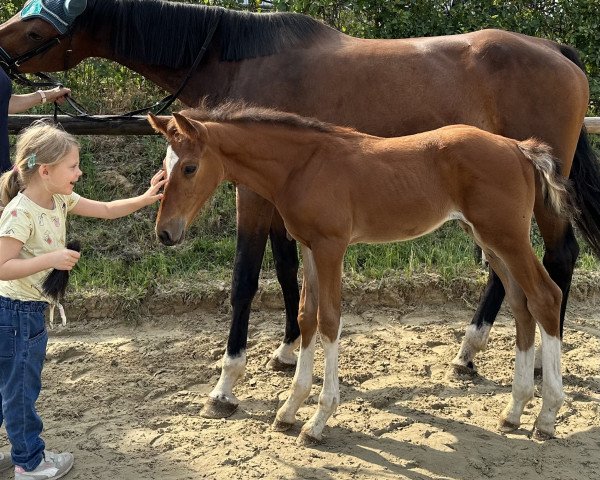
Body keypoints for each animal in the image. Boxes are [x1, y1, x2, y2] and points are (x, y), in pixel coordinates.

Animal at [150, 105, 572, 442]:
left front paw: (318, 421)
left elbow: (330, 321)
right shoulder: (309, 246)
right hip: (488, 238)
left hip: (506, 235)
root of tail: (519, 148)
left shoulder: (331, 247)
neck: (303, 165)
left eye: (189, 167)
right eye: (163, 170)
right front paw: (289, 410)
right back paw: (514, 411)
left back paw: (547, 416)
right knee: (521, 303)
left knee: (545, 297)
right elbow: (306, 317)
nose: (165, 233)